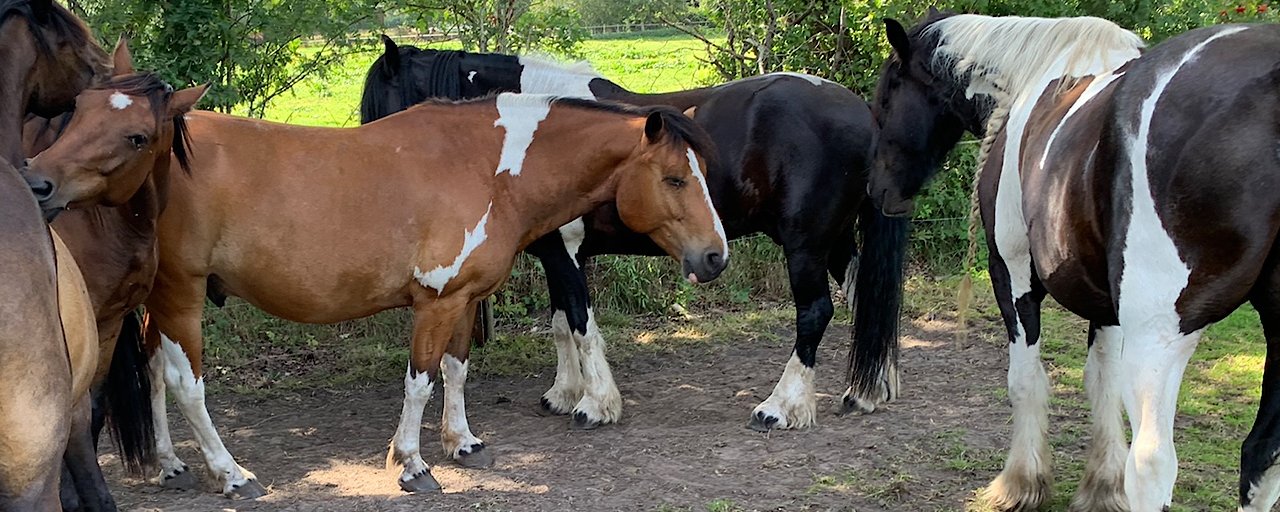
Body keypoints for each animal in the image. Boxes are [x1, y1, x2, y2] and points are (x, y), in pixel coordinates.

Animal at [24, 76, 730, 495]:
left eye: (701, 170)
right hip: (182, 294)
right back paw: (229, 473)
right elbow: (420, 381)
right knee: (183, 381)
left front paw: (461, 442)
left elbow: (456, 371)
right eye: (674, 178)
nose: (715, 256)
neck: (487, 167)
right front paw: (412, 463)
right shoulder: (434, 302)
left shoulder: (462, 300)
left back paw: (169, 461)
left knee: (149, 368)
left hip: (161, 299)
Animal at [361, 36, 907, 433]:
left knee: (815, 312)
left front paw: (596, 404)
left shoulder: (565, 252)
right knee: (866, 297)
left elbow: (580, 321)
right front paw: (564, 394)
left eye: (377, 106)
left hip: (805, 245)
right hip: (835, 241)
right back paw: (867, 392)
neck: (536, 139)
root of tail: (861, 112)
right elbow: (561, 323)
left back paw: (780, 406)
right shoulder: (557, 253)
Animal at [870, 11, 1280, 511]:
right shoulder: (1105, 303)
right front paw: (1102, 487)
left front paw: (1021, 483)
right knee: (1262, 456)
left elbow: (1026, 380)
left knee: (1153, 464)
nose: (877, 190)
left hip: (1158, 336)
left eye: (888, 93)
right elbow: (1100, 381)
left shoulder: (1012, 274)